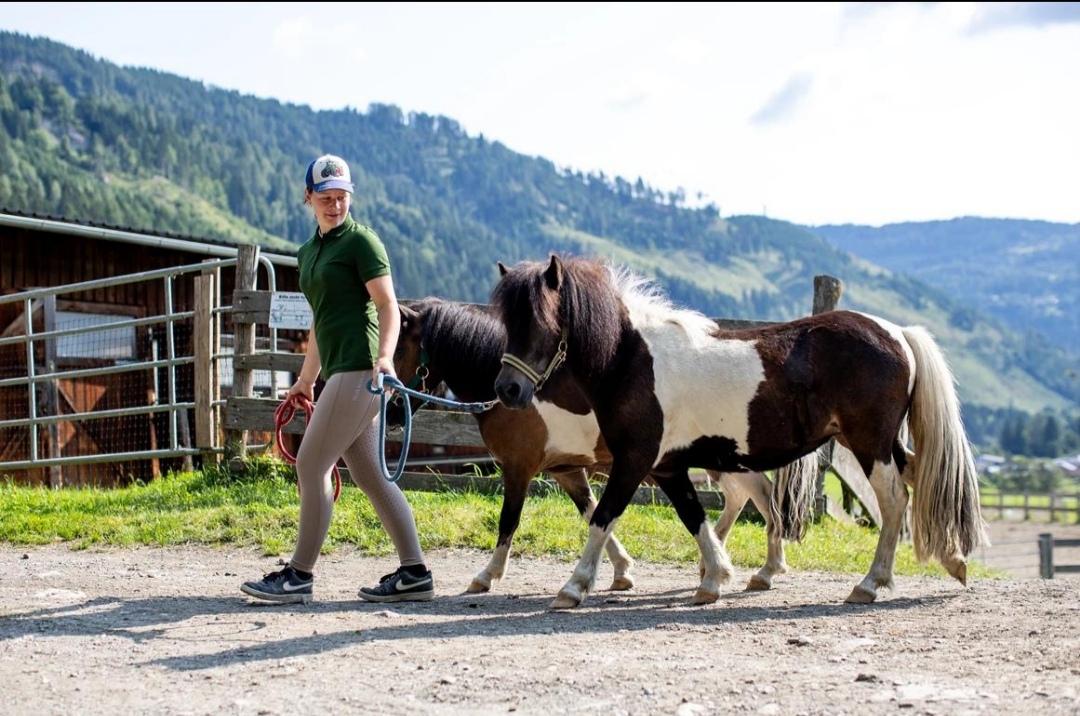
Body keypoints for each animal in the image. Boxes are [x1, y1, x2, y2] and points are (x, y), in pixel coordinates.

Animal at [392, 296, 818, 595]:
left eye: (397, 348)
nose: (394, 412)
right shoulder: (566, 470)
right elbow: (593, 512)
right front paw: (621, 571)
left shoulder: (518, 467)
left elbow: (509, 521)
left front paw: (488, 575)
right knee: (746, 497)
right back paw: (733, 564)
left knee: (760, 496)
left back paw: (758, 568)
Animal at [491, 254, 989, 609]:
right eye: (507, 322)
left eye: (541, 322)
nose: (507, 389)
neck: (630, 359)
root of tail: (897, 333)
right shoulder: (668, 467)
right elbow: (695, 518)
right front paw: (713, 579)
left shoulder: (635, 461)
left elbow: (603, 517)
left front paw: (574, 587)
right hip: (875, 442)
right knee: (919, 480)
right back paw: (953, 561)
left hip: (870, 444)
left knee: (896, 500)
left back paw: (870, 584)